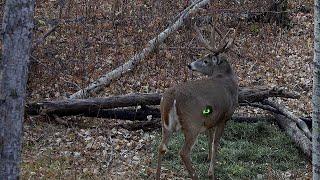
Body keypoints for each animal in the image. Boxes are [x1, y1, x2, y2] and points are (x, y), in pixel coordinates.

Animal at [156, 24, 239, 180]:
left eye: (205, 60)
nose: (190, 65)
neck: (226, 77)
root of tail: (172, 96)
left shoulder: (211, 119)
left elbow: (209, 137)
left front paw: (208, 157)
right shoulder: (224, 116)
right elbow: (215, 142)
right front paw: (211, 172)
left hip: (165, 123)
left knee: (161, 147)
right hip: (192, 124)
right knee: (183, 152)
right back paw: (195, 175)